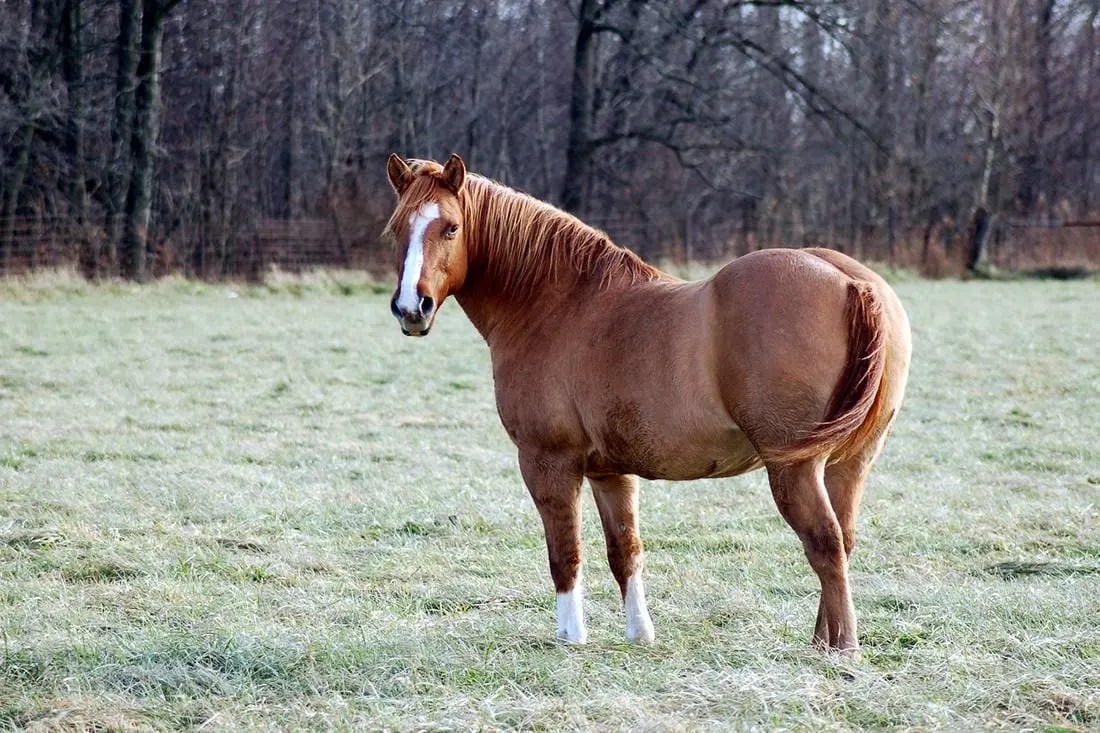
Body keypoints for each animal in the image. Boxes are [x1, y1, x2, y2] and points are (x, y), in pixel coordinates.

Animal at [383, 153, 911, 654]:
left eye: (451, 227)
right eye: (396, 229)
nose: (412, 308)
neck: (558, 304)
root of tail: (852, 283)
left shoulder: (547, 462)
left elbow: (565, 553)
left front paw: (571, 636)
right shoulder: (609, 471)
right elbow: (625, 551)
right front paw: (640, 633)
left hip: (795, 468)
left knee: (825, 545)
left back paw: (842, 649)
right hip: (849, 464)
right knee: (843, 540)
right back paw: (823, 639)